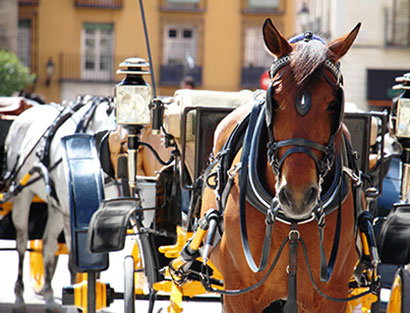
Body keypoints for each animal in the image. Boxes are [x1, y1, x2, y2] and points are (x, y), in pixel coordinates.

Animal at [4, 95, 115, 312]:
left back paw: (48, 296)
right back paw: (19, 297)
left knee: (48, 245)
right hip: (23, 195)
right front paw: (76, 301)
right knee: (21, 244)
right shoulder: (70, 215)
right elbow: (73, 261)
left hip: (55, 209)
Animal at [201, 19, 362, 312]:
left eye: (334, 103)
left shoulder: (333, 295)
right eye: (273, 101)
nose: (297, 196)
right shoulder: (237, 293)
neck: (293, 225)